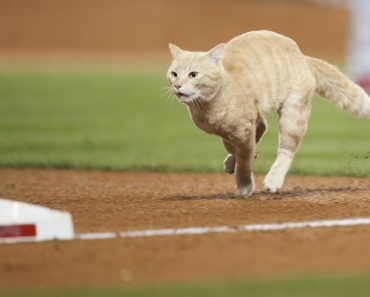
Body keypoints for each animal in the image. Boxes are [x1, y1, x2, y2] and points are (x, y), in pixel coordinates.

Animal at [167, 30, 370, 197]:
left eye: (193, 74)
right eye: (174, 74)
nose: (177, 85)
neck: (207, 108)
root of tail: (301, 55)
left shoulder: (244, 128)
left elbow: (244, 159)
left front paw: (244, 186)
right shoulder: (240, 126)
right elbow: (238, 146)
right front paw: (237, 160)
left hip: (293, 113)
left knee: (287, 149)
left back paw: (274, 179)